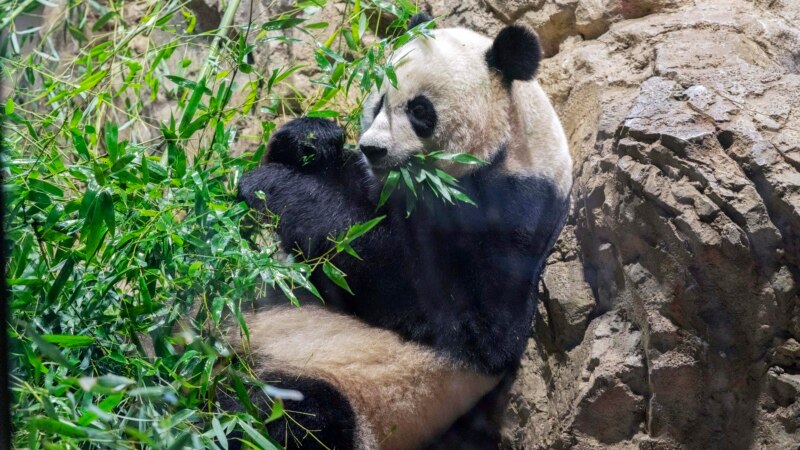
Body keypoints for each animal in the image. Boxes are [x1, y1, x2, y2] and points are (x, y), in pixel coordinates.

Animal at [227, 14, 572, 450]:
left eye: (419, 109)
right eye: (377, 102)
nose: (372, 148)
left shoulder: (511, 217)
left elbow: (450, 312)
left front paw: (276, 187)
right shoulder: (376, 186)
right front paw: (311, 138)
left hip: (346, 392)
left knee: (296, 417)